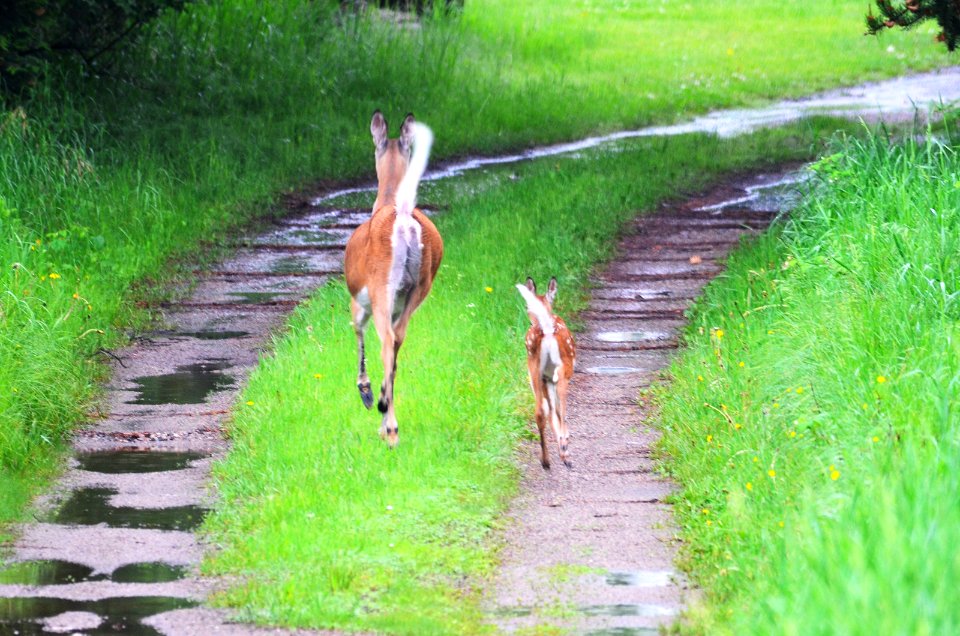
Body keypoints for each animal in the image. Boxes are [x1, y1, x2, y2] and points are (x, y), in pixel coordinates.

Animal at [344, 110, 444, 448]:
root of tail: (401, 215)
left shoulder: (358, 300)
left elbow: (358, 333)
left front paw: (365, 390)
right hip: (419, 288)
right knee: (399, 338)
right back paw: (389, 420)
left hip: (381, 288)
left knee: (387, 340)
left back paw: (387, 421)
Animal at [512, 278, 572, 468]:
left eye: (527, 306)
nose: (530, 320)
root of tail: (546, 330)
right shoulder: (552, 378)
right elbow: (557, 411)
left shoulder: (546, 378)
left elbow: (550, 411)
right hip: (563, 370)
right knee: (562, 411)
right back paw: (564, 453)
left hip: (533, 370)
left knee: (540, 411)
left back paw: (546, 460)